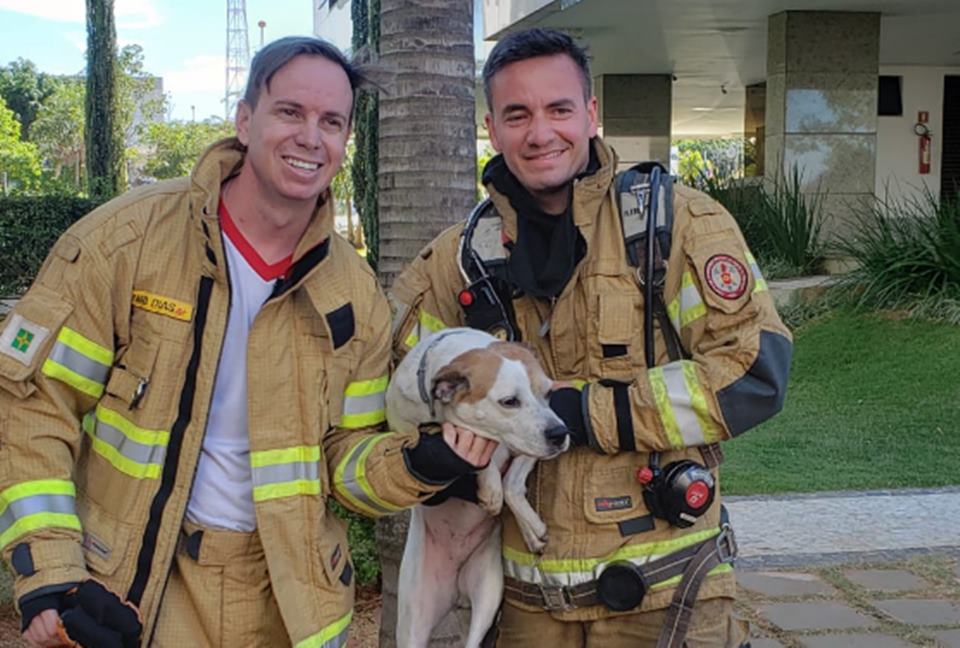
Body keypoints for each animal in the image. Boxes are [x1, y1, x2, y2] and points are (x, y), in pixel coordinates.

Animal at [388, 330, 568, 648]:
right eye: (509, 401)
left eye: (547, 393)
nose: (561, 434)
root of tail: (455, 589)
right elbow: (480, 458)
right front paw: (490, 484)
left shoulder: (527, 446)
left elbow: (511, 481)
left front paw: (531, 529)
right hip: (412, 623)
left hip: (488, 595)